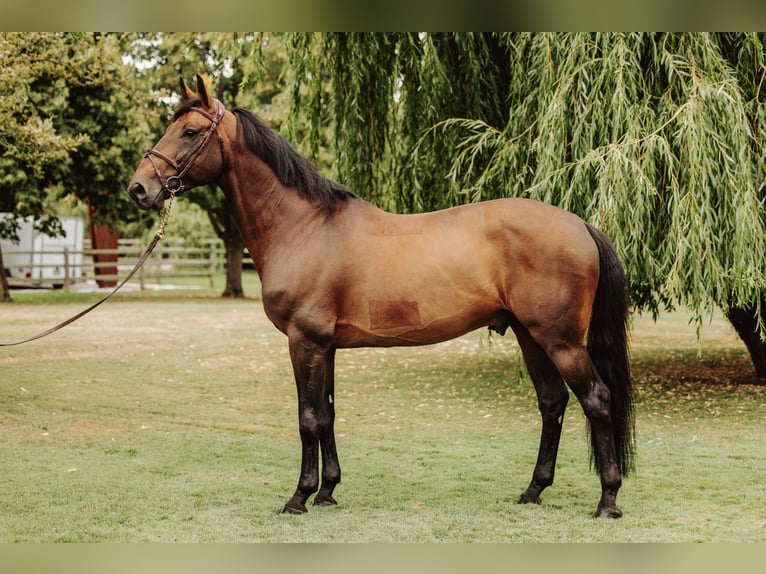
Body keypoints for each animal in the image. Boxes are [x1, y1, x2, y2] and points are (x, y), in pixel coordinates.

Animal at [128, 75, 634, 519]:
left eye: (190, 131)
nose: (139, 188)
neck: (303, 226)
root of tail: (579, 224)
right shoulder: (325, 346)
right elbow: (327, 415)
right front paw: (327, 492)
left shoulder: (304, 342)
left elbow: (307, 418)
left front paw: (299, 498)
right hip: (531, 336)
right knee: (552, 403)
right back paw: (533, 491)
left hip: (561, 341)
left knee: (597, 401)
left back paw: (608, 500)